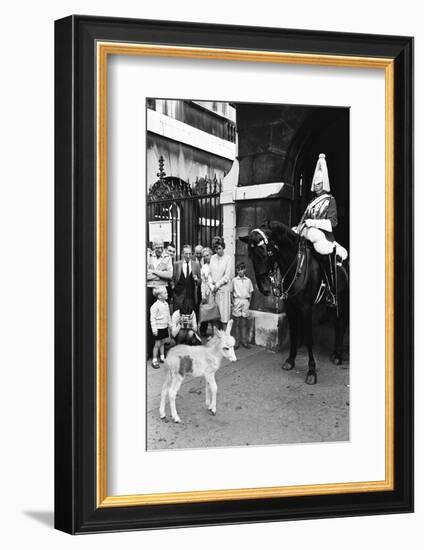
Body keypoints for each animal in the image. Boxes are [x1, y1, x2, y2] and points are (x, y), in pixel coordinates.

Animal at [240, 222, 350, 386]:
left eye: (267, 252)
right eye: (251, 255)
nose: (264, 289)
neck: (296, 267)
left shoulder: (306, 309)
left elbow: (309, 338)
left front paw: (311, 371)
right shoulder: (291, 308)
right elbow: (293, 333)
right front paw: (290, 361)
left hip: (342, 301)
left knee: (341, 324)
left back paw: (338, 356)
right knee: (337, 324)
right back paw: (335, 354)